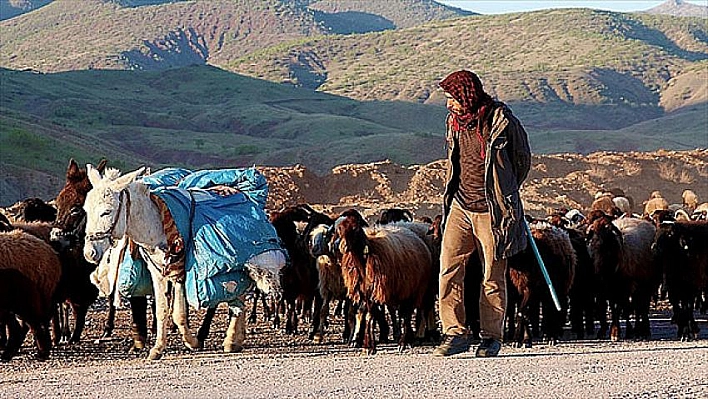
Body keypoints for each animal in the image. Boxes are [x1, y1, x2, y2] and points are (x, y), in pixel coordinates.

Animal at [82, 164, 282, 360]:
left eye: (106, 211)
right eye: (86, 210)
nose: (89, 253)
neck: (155, 222)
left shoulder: (180, 272)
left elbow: (178, 313)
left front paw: (192, 342)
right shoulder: (158, 271)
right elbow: (162, 310)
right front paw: (157, 349)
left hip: (252, 262)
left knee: (243, 294)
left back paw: (231, 339)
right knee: (239, 295)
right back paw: (235, 339)